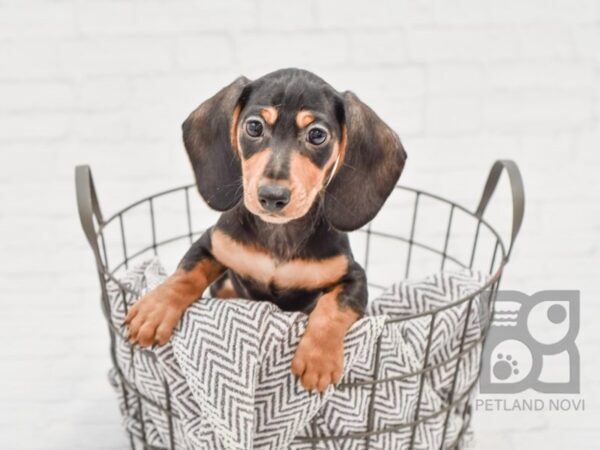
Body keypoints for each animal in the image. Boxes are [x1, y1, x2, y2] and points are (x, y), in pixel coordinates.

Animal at [126, 68, 408, 392]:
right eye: (254, 126)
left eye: (317, 135)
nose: (272, 196)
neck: (278, 236)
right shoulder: (212, 243)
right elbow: (186, 274)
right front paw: (155, 309)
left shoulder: (354, 277)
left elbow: (333, 307)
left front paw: (318, 358)